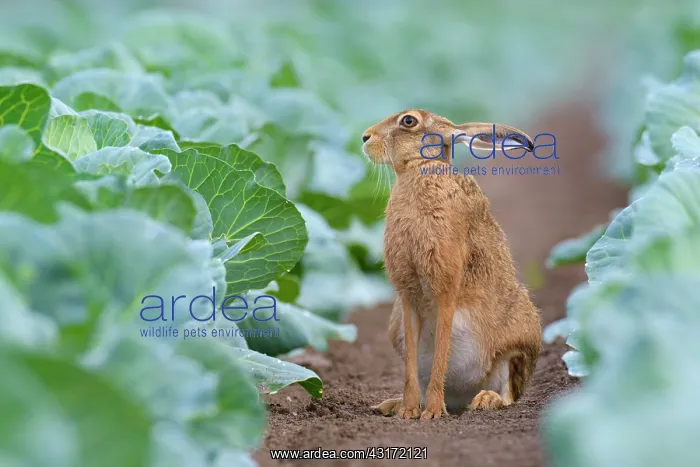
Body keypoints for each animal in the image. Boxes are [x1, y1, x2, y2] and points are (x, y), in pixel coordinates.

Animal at [362, 109, 542, 420]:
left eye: (408, 121)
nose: (365, 137)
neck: (420, 168)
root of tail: (462, 394)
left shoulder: (446, 287)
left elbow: (441, 351)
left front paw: (433, 413)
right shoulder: (408, 295)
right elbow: (411, 365)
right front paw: (409, 412)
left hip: (519, 342)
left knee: (509, 392)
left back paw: (485, 400)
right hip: (395, 325)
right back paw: (393, 405)